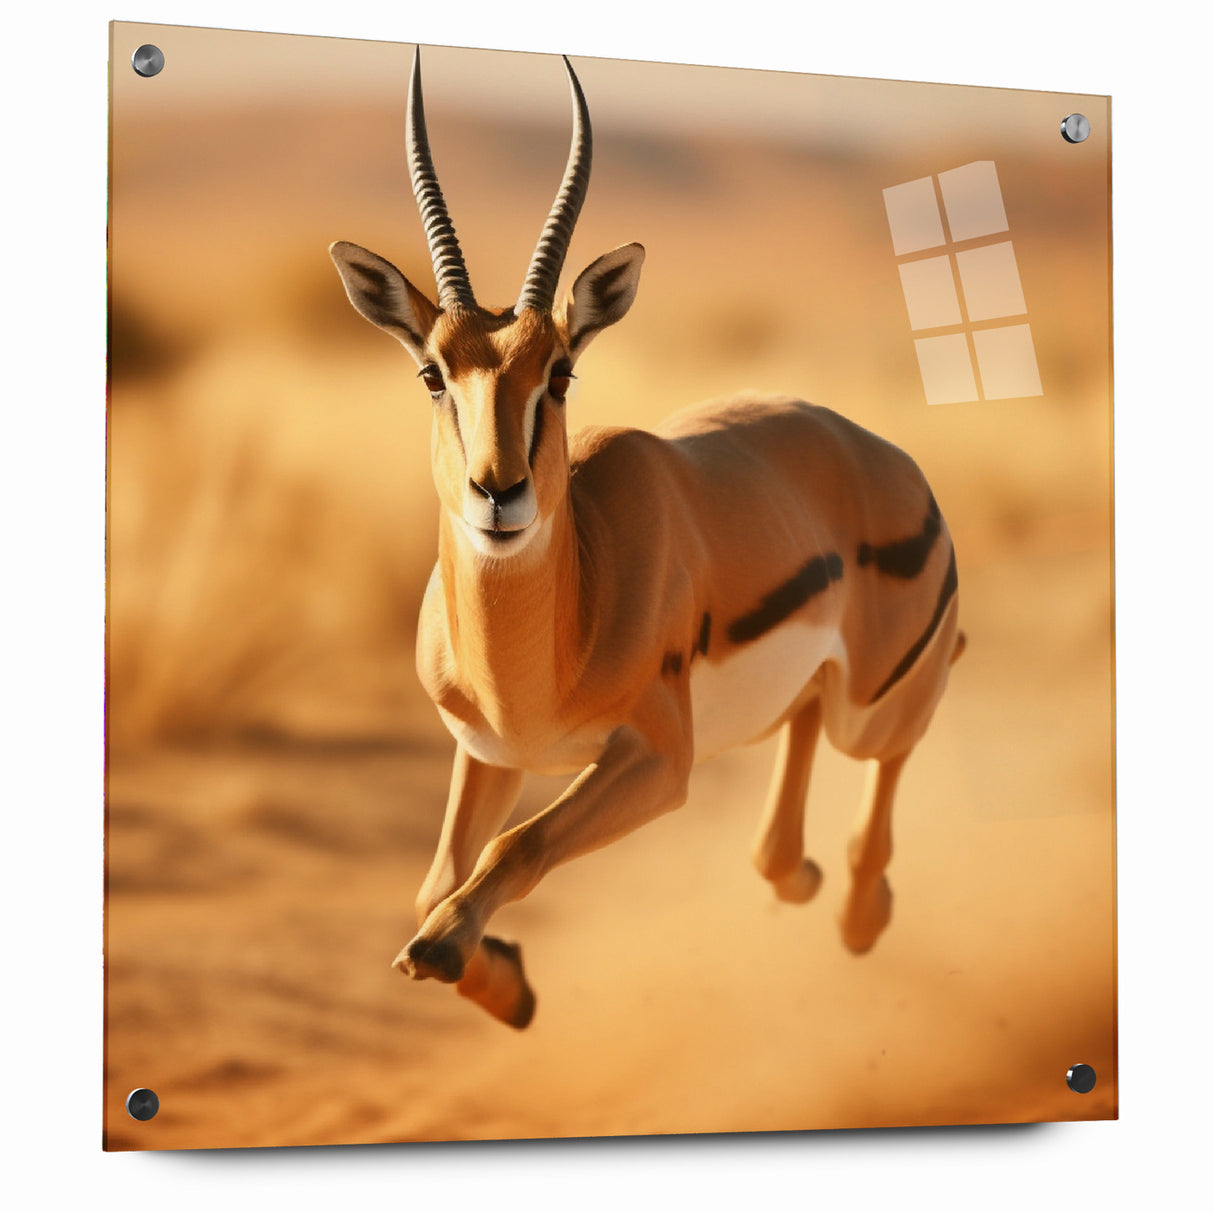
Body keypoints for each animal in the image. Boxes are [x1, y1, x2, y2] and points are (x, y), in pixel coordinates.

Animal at [330, 49, 964, 1029]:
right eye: (434, 373)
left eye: (559, 371)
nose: (499, 493)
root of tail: (885, 457)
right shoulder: (491, 755)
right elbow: (435, 880)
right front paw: (506, 985)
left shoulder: (660, 760)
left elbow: (513, 850)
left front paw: (449, 952)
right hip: (814, 699)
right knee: (796, 760)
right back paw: (803, 880)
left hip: (872, 708)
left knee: (889, 739)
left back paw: (860, 913)